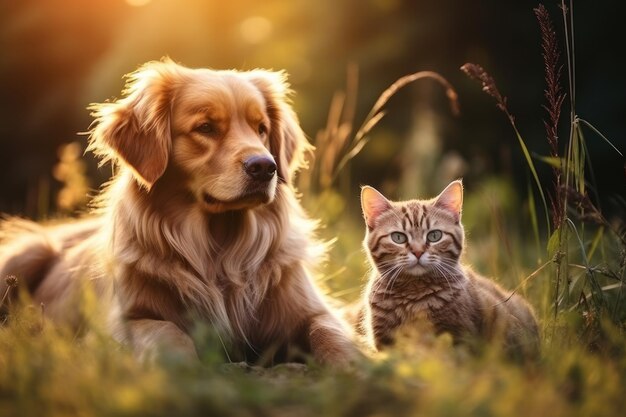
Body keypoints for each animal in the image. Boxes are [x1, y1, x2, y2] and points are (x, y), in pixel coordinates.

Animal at [0, 58, 356, 364]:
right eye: (206, 127)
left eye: (262, 128)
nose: (265, 167)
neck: (219, 251)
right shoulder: (127, 319)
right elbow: (167, 332)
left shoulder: (312, 310)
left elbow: (331, 334)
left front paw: (356, 368)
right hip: (23, 255)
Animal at [358, 179, 540, 358]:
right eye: (398, 237)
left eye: (434, 235)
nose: (418, 251)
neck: (414, 296)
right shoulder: (385, 342)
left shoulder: (460, 337)